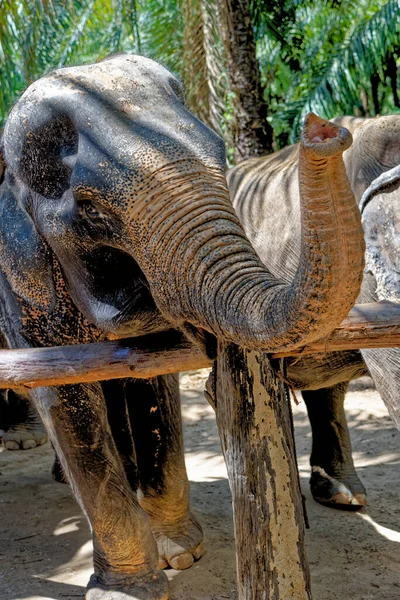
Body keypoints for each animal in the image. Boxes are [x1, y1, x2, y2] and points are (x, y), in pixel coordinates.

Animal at [0, 52, 366, 600]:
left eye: (220, 154)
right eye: (91, 212)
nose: (323, 131)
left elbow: (154, 378)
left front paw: (181, 553)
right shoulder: (20, 284)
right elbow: (65, 399)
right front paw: (129, 590)